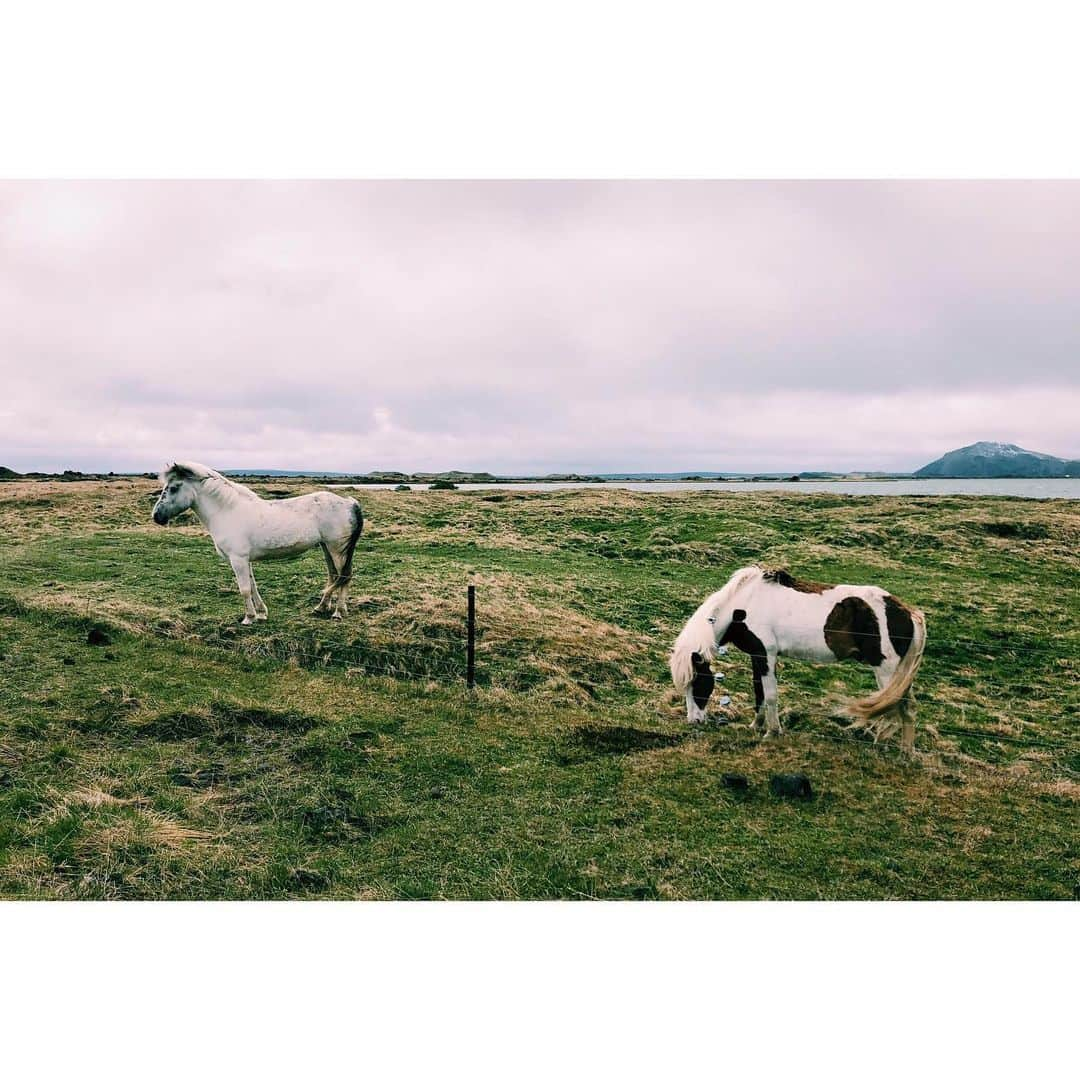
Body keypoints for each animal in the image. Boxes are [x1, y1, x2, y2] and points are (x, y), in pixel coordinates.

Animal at [150, 462, 365, 626]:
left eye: (174, 488)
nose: (156, 517)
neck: (227, 511)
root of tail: (350, 503)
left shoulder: (237, 559)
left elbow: (244, 588)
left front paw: (249, 618)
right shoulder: (245, 560)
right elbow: (253, 586)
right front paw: (261, 613)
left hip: (337, 549)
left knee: (345, 576)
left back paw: (338, 612)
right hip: (326, 547)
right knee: (334, 576)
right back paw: (321, 607)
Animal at [665, 565, 928, 751]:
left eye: (699, 682)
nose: (694, 721)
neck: (743, 606)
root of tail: (909, 613)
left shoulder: (767, 654)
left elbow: (770, 695)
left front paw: (772, 733)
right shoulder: (756, 656)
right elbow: (759, 692)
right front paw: (755, 725)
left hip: (886, 671)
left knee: (898, 707)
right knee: (904, 707)